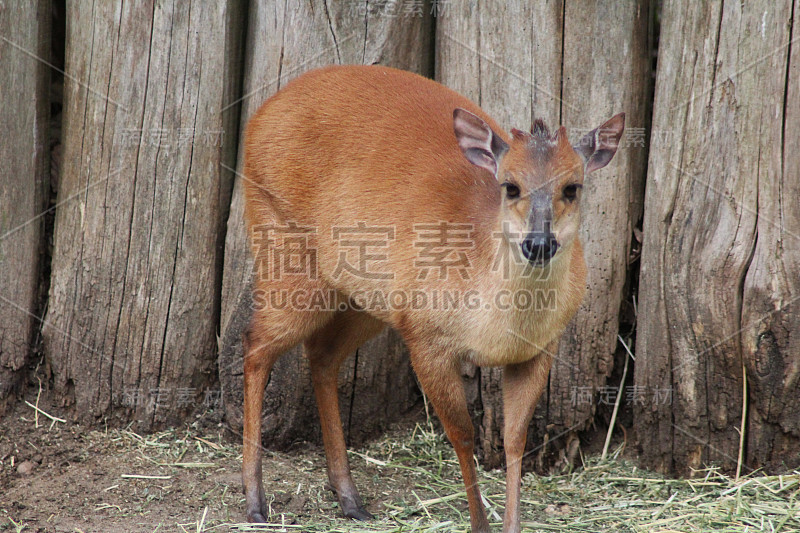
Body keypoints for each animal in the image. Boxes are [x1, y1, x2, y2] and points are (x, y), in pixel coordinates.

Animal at [239, 63, 624, 532]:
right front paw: (479, 524)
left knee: (322, 354)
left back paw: (349, 498)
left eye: (573, 187)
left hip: (368, 299)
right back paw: (255, 500)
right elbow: (462, 435)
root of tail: (259, 116)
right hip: (285, 253)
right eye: (510, 186)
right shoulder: (426, 338)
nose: (538, 243)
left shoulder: (540, 349)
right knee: (256, 346)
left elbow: (515, 440)